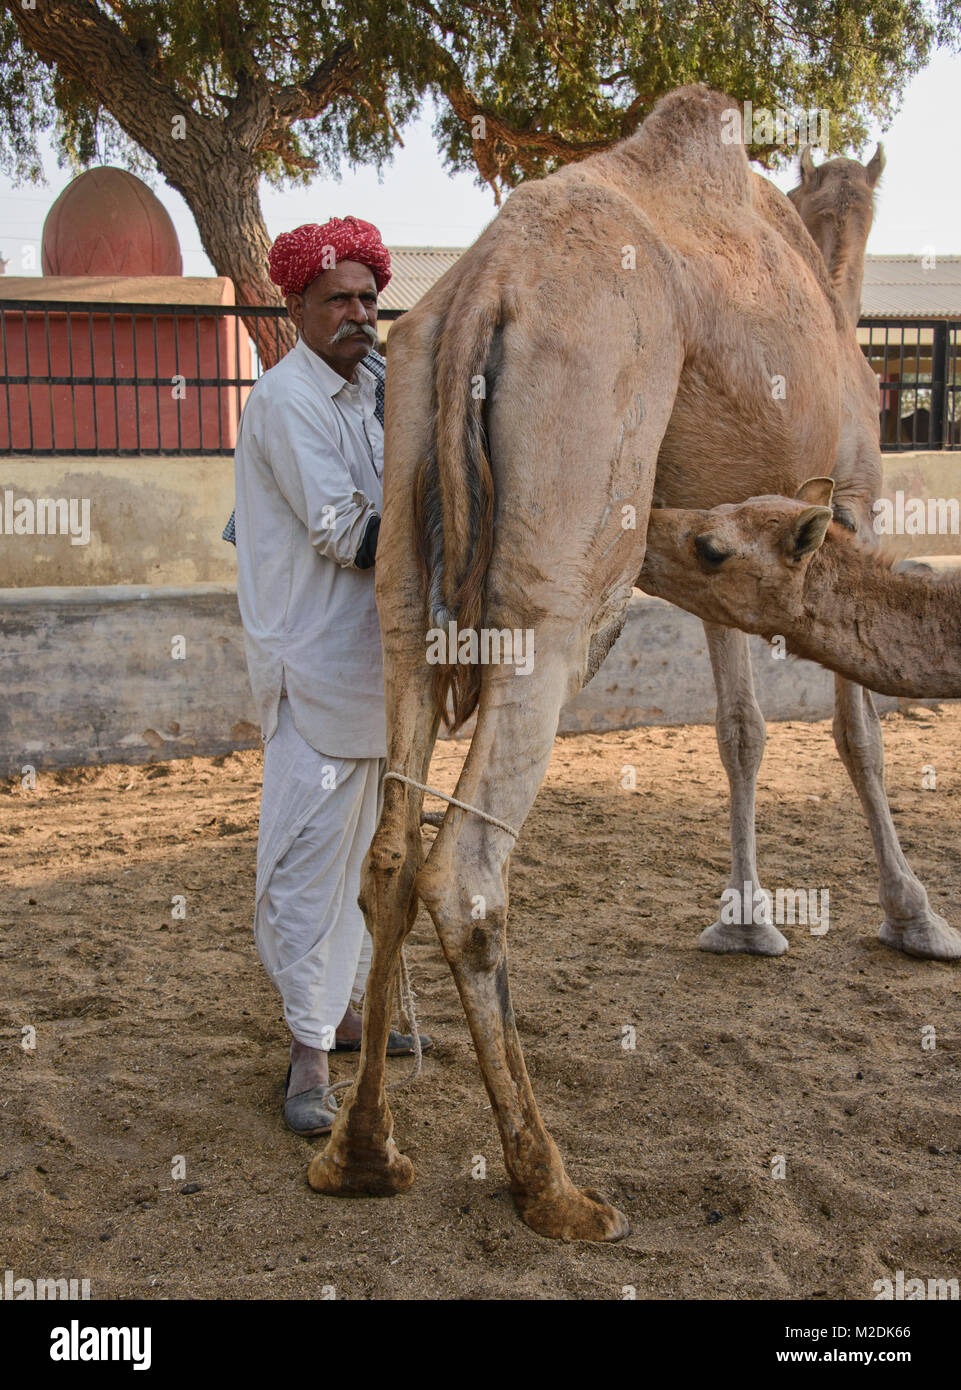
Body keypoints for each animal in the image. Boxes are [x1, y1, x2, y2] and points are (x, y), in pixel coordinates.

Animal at [311, 81, 956, 1245]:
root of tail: (482, 289)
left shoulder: (734, 544)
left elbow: (742, 728)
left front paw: (745, 921)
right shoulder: (851, 496)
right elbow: (857, 730)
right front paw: (915, 918)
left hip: (407, 551)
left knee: (388, 852)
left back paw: (364, 1152)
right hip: (571, 560)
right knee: (464, 868)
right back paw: (553, 1188)